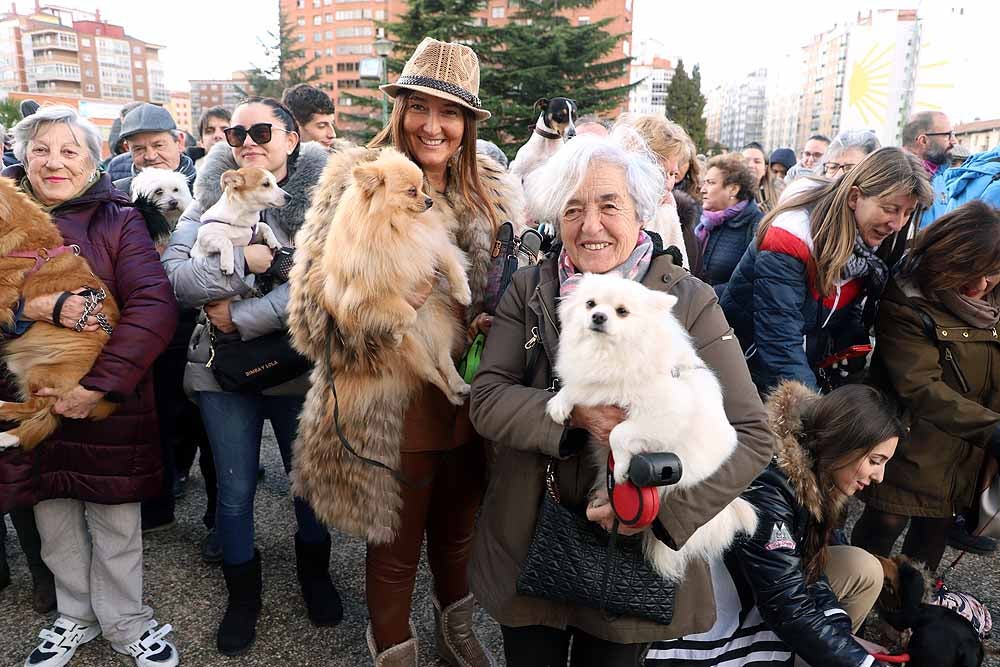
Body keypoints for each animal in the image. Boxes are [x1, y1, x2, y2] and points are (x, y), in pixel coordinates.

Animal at [548, 274, 756, 580]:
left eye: (622, 312)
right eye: (590, 304)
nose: (598, 316)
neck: (609, 354)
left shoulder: (664, 415)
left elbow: (619, 434)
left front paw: (621, 468)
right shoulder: (596, 385)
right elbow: (579, 387)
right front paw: (560, 403)